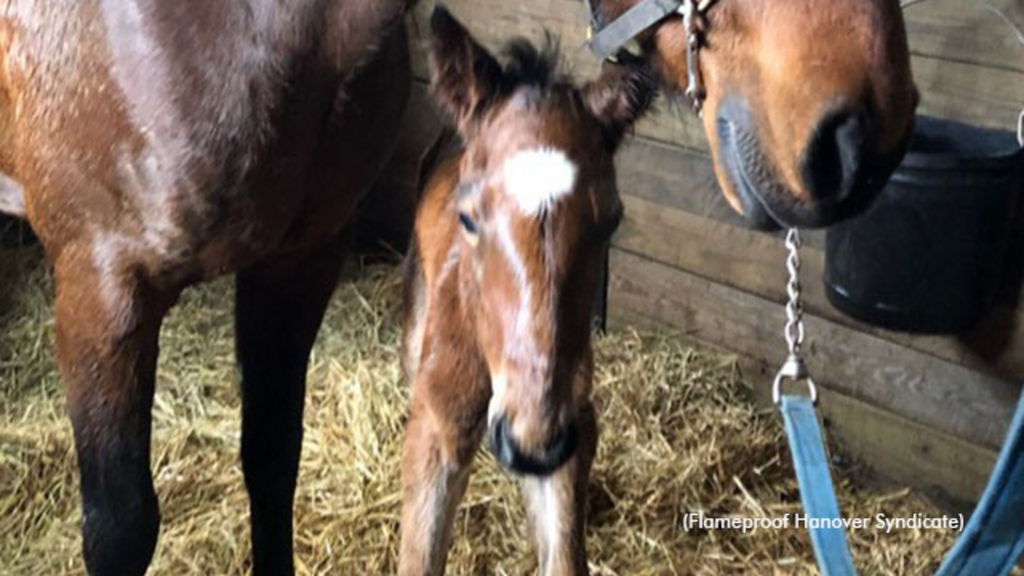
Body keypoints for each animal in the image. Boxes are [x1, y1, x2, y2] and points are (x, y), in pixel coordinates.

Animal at [399, 8, 655, 573]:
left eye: (611, 222)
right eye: (468, 217)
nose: (529, 446)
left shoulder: (570, 430)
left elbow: (562, 552)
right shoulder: (437, 423)